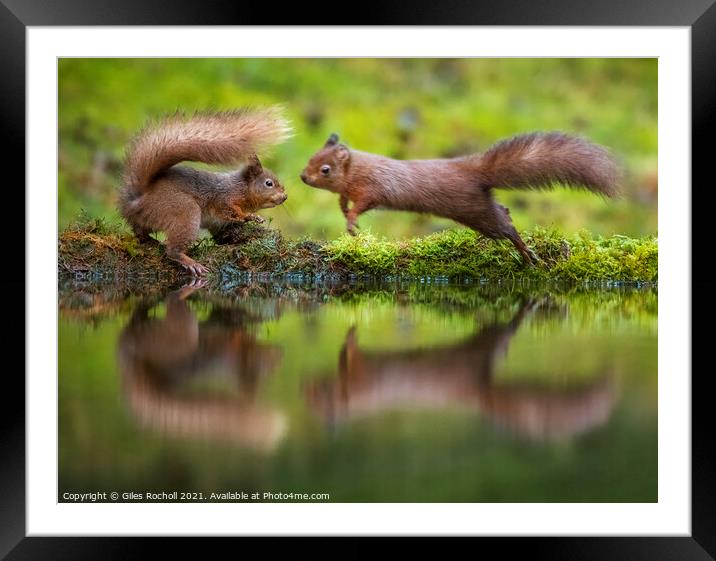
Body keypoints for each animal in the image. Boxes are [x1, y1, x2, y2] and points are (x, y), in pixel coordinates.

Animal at [300, 132, 620, 264]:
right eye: (311, 157)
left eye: (325, 169)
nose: (303, 177)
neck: (357, 171)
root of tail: (474, 170)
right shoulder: (350, 190)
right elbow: (343, 201)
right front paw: (344, 212)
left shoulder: (373, 187)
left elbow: (365, 203)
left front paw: (352, 222)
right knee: (503, 210)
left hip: (476, 211)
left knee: (506, 227)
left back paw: (527, 253)